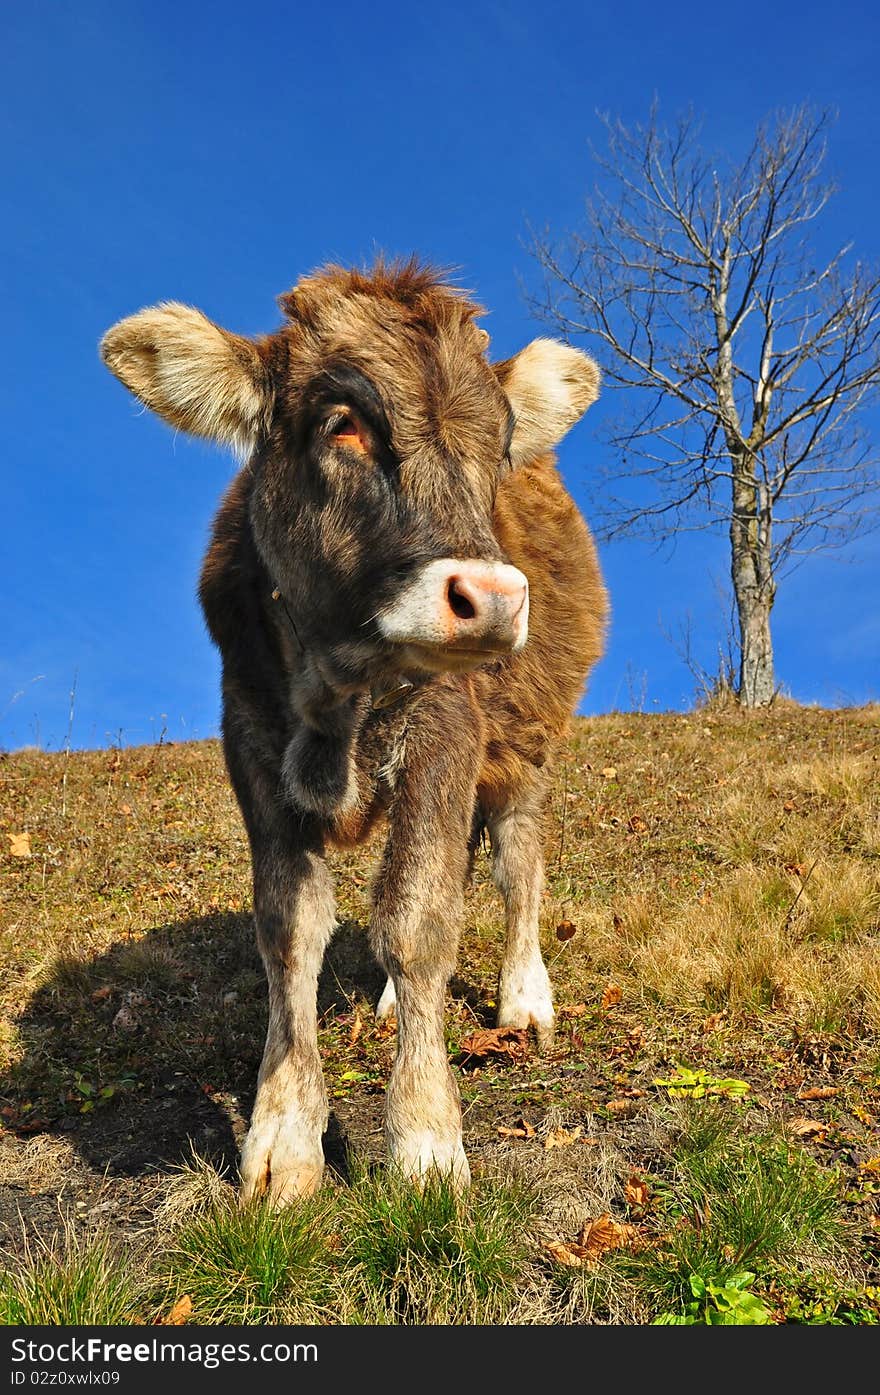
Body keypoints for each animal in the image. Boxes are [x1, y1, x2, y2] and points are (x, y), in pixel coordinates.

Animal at [98, 259, 605, 1199]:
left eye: (500, 443)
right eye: (344, 424)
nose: (493, 597)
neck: (337, 695)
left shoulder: (450, 732)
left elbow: (418, 919)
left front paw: (426, 1138)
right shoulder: (249, 742)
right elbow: (290, 930)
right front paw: (284, 1137)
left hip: (525, 745)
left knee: (516, 863)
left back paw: (524, 998)